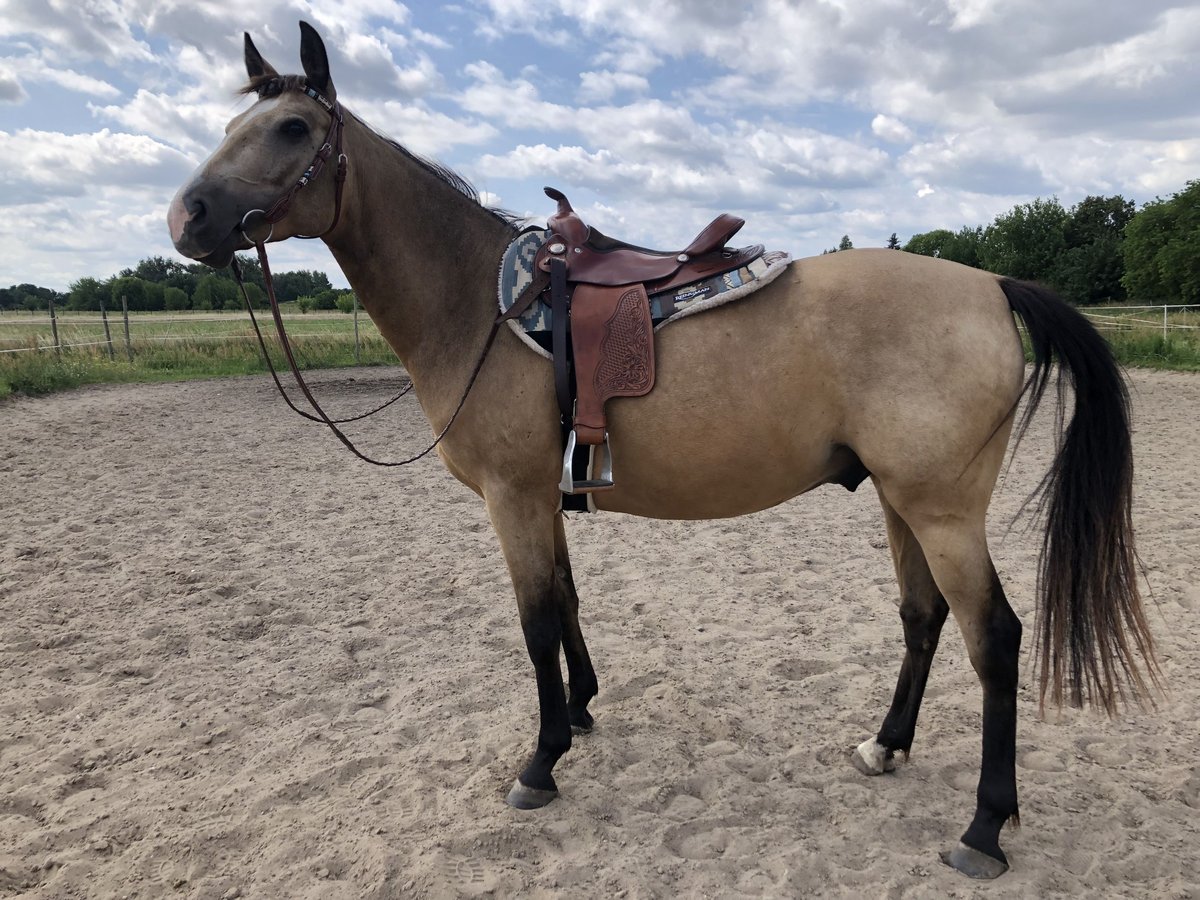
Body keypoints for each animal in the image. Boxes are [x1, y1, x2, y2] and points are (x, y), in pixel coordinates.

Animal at [164, 21, 1156, 883]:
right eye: (229, 127)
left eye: (293, 128)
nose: (187, 215)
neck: (479, 303)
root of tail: (990, 284)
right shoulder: (541, 496)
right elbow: (565, 602)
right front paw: (581, 712)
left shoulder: (511, 497)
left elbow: (534, 623)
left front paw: (540, 762)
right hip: (899, 501)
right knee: (924, 619)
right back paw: (885, 746)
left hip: (942, 509)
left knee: (995, 639)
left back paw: (984, 827)